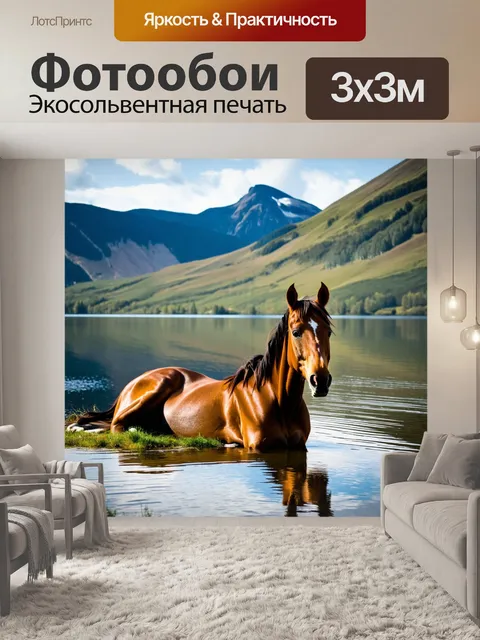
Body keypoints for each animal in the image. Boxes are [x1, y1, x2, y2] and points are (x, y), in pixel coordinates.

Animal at [74, 282, 333, 452]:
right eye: (296, 332)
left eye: (328, 331)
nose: (320, 380)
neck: (279, 401)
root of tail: (132, 383)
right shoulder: (260, 447)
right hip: (157, 386)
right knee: (116, 426)